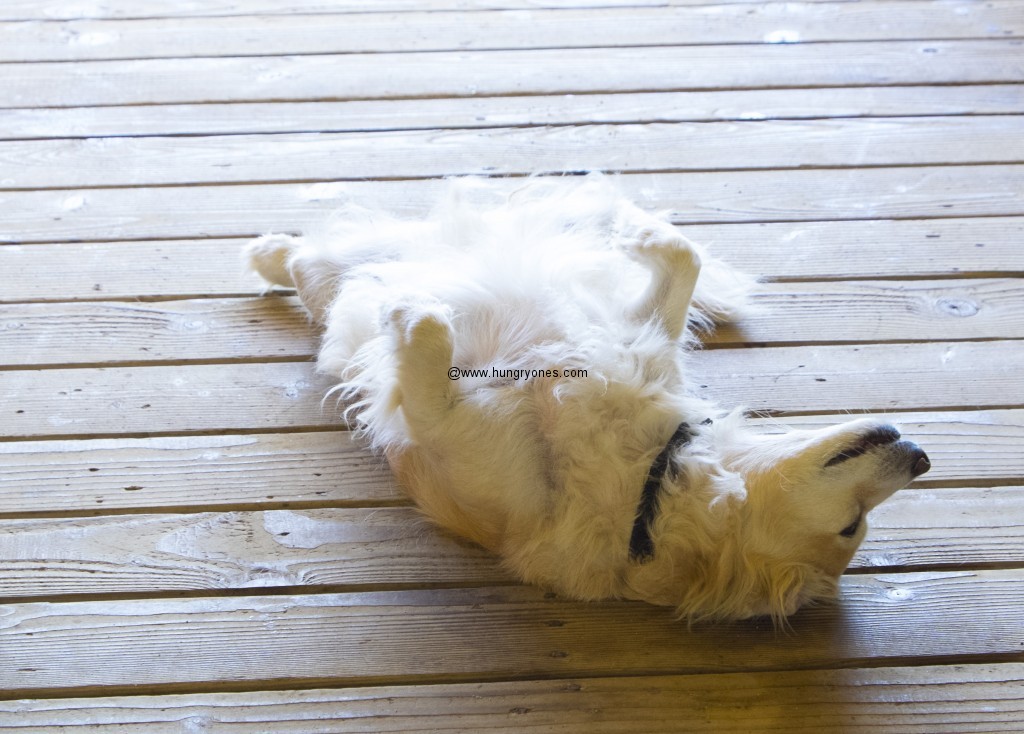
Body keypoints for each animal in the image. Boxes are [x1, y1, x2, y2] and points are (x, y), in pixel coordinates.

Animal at [245, 175, 929, 622]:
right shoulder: (637, 335)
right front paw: (635, 227)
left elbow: (426, 344)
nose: (922, 457)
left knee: (318, 274)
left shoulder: (439, 423)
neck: (651, 475)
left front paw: (413, 312)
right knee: (319, 259)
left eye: (851, 527)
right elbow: (682, 256)